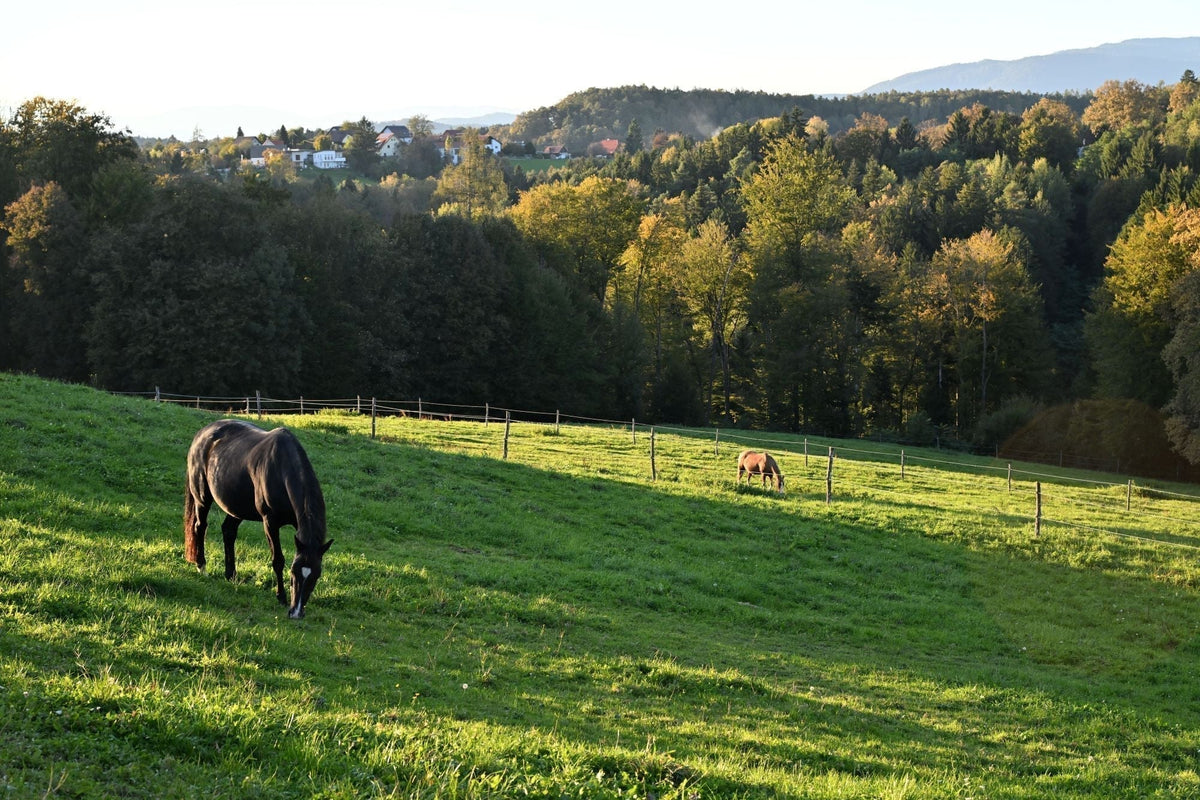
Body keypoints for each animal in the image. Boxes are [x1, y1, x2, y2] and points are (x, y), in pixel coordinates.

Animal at [183, 419, 333, 618]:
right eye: (293, 574)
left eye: (315, 576)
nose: (296, 613)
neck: (282, 469)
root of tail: (202, 434)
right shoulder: (270, 522)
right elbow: (278, 560)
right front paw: (281, 597)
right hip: (202, 498)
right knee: (200, 527)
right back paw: (202, 567)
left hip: (236, 508)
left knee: (228, 531)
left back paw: (230, 575)